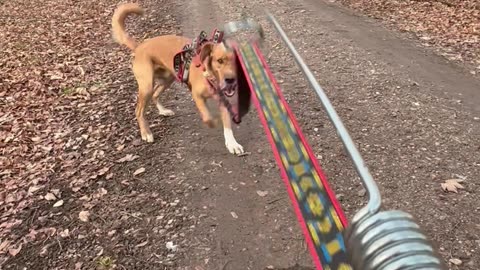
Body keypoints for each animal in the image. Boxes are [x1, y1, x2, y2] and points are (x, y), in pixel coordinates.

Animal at [111, 2, 244, 154]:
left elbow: (227, 124)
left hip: (167, 80)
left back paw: (163, 111)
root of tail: (139, 47)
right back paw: (146, 133)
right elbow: (207, 117)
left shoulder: (222, 100)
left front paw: (232, 143)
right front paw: (214, 121)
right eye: (220, 61)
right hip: (147, 86)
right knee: (139, 110)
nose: (230, 80)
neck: (210, 76)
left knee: (155, 94)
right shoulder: (197, 96)